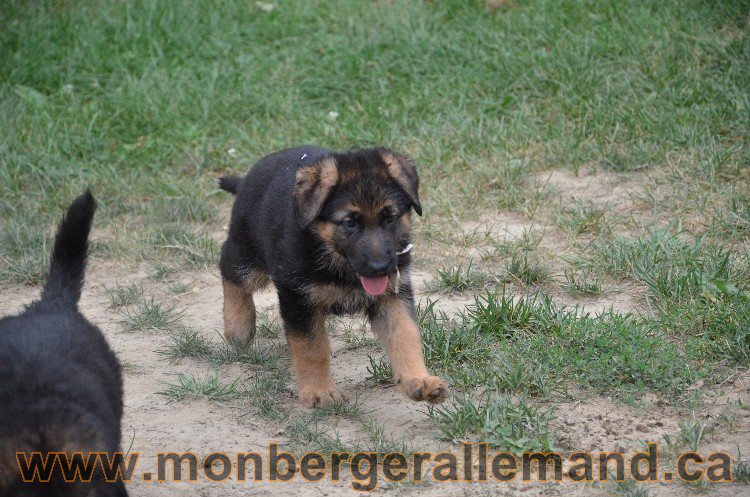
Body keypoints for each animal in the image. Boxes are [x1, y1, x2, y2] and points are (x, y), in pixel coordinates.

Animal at [220, 144, 450, 406]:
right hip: (248, 253)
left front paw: (419, 380)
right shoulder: (297, 297)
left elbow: (405, 335)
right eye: (350, 223)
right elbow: (311, 348)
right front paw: (319, 390)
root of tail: (246, 178)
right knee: (229, 266)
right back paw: (238, 326)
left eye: (390, 218)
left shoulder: (393, 294)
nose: (380, 267)